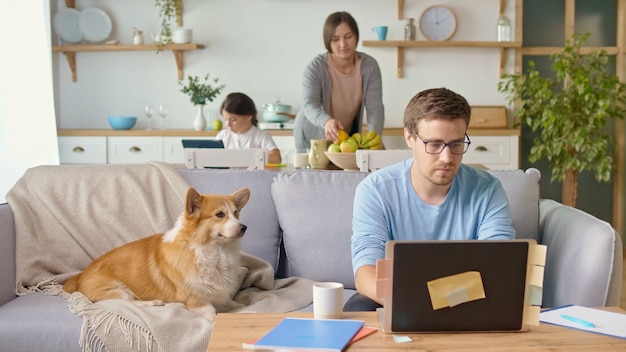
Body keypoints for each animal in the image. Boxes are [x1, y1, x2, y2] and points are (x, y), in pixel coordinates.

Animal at [62, 188, 250, 320]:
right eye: (220, 214)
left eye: (236, 213)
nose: (244, 227)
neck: (216, 252)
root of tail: (78, 278)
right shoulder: (196, 301)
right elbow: (212, 314)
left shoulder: (219, 295)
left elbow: (233, 303)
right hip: (118, 290)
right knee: (130, 303)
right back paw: (153, 302)